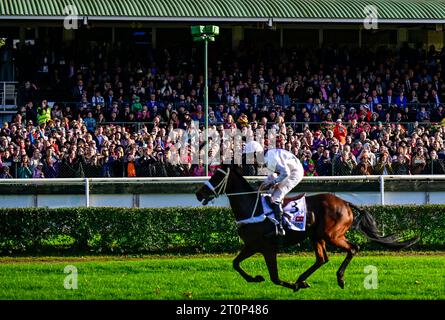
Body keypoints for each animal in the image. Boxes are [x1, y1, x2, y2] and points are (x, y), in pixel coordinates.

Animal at [195, 164, 420, 292]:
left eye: (216, 177)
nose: (198, 194)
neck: (252, 207)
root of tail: (346, 203)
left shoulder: (267, 248)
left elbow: (274, 277)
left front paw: (289, 284)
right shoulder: (252, 245)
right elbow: (235, 264)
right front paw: (256, 278)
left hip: (331, 235)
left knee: (353, 249)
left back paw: (338, 279)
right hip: (316, 236)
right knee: (322, 259)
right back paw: (303, 279)